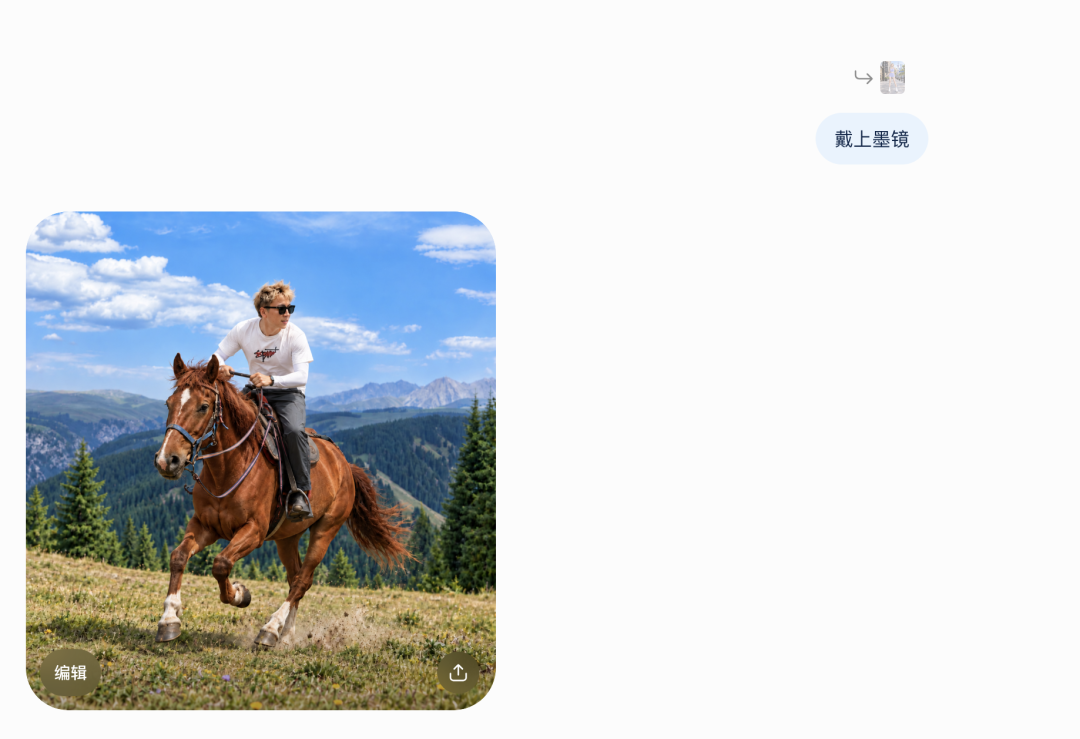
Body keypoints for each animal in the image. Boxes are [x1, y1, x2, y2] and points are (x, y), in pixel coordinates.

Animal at [153, 353, 410, 647]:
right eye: (169, 403)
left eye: (203, 406)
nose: (167, 460)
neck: (230, 468)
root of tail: (346, 465)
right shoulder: (204, 526)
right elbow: (178, 557)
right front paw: (169, 619)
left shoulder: (254, 531)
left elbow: (221, 564)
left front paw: (240, 594)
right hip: (287, 538)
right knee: (294, 576)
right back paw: (287, 634)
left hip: (326, 529)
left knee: (303, 580)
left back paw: (272, 628)